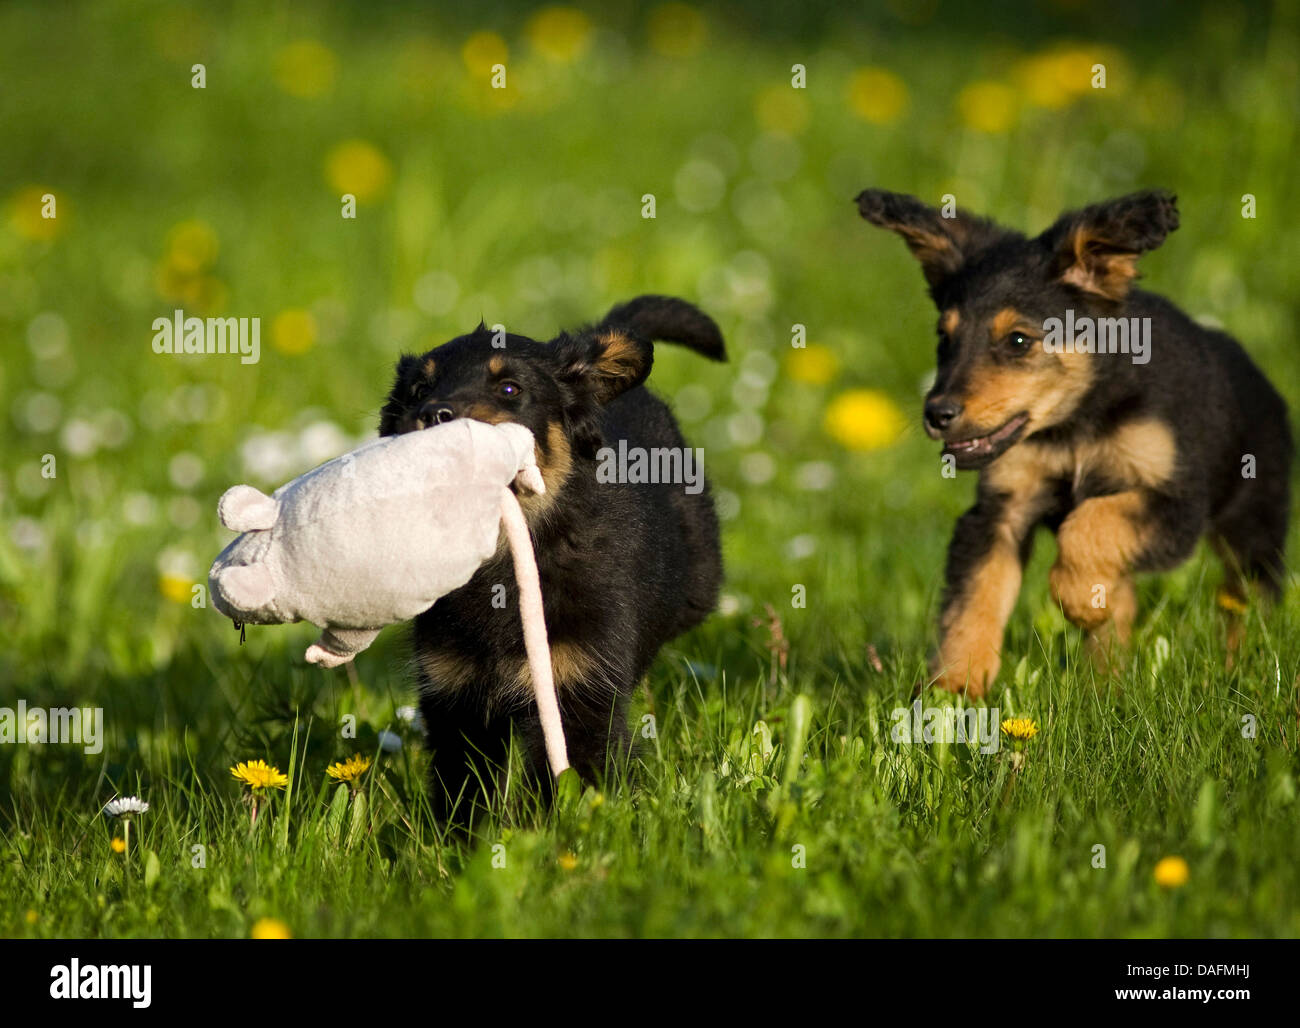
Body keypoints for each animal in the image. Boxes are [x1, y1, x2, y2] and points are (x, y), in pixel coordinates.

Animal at [379, 295, 733, 821]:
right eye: (420, 388)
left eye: (510, 389)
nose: (431, 413)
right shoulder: (454, 694)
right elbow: (463, 795)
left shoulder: (576, 689)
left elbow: (573, 784)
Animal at [852, 188, 1289, 696]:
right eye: (944, 337)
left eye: (1018, 341)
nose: (937, 414)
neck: (1076, 424)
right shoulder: (999, 511)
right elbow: (974, 598)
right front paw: (957, 688)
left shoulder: (1178, 503)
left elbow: (1089, 523)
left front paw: (1077, 599)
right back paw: (1107, 684)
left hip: (1252, 528)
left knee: (1248, 603)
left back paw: (1241, 668)